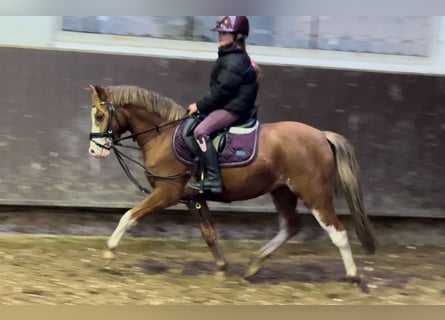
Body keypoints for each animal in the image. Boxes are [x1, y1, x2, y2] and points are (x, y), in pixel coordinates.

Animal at [86, 83, 374, 284]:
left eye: (100, 116)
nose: (94, 151)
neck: (164, 135)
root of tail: (321, 136)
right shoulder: (193, 198)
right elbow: (209, 234)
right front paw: (222, 268)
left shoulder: (167, 193)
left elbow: (128, 216)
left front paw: (109, 253)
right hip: (282, 191)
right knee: (290, 226)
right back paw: (255, 264)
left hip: (314, 193)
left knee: (338, 232)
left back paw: (353, 276)